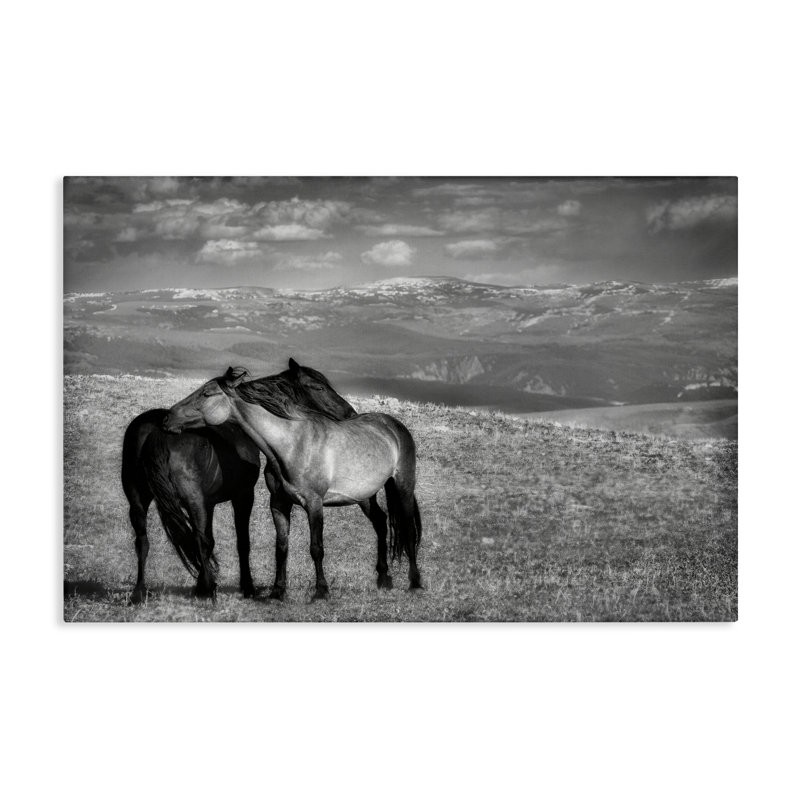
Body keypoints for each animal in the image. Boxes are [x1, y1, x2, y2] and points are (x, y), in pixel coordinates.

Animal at [120, 359, 358, 602]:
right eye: (318, 387)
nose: (349, 412)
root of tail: (158, 430)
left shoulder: (209, 503)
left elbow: (213, 539)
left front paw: (203, 583)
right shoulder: (242, 497)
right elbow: (241, 542)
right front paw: (246, 587)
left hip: (138, 502)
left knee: (143, 541)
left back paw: (139, 593)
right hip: (193, 502)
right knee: (199, 541)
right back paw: (209, 590)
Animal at [163, 366, 423, 600]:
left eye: (206, 394)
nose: (168, 417)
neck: (293, 445)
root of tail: (393, 426)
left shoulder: (314, 504)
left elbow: (316, 548)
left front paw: (321, 592)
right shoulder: (279, 504)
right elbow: (281, 548)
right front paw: (278, 591)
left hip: (403, 486)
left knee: (409, 530)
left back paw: (415, 583)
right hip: (364, 495)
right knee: (380, 522)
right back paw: (384, 579)